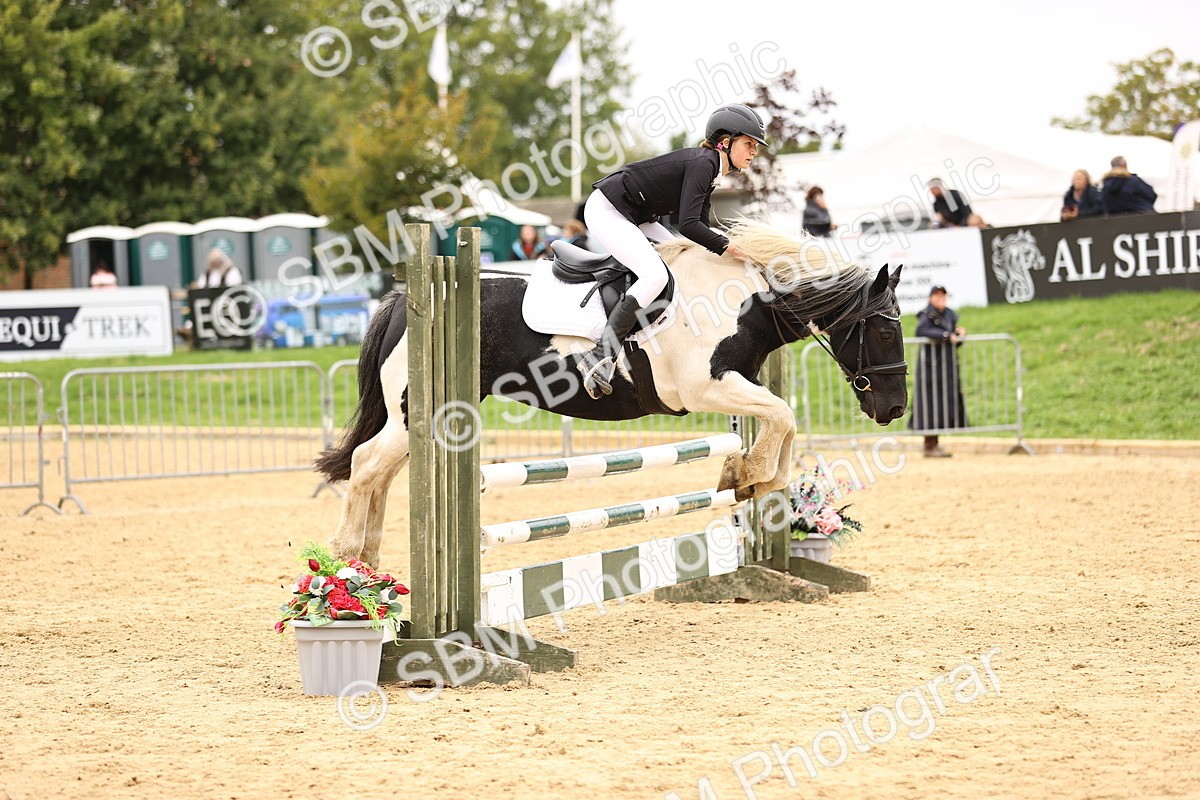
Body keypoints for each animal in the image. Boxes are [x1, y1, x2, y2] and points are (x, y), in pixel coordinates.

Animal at [317, 221, 908, 565]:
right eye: (884, 332)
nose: (895, 409)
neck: (744, 300)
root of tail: (404, 297)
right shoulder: (705, 387)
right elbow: (782, 416)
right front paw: (749, 473)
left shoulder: (742, 383)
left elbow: (783, 422)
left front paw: (750, 479)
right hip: (414, 417)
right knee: (367, 465)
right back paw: (346, 562)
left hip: (424, 424)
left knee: (380, 475)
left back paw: (368, 566)